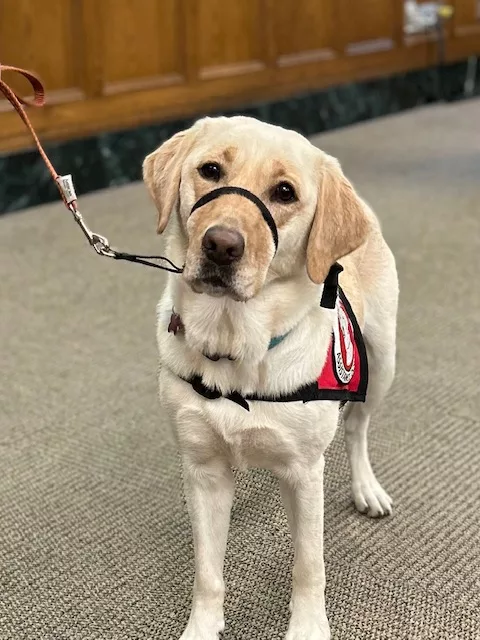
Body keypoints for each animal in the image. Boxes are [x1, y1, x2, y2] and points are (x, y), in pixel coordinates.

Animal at [144, 116, 400, 640]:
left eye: (285, 192)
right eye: (210, 170)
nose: (221, 245)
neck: (235, 345)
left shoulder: (303, 474)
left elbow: (309, 564)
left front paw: (308, 626)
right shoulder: (202, 468)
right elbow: (207, 570)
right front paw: (202, 626)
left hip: (383, 362)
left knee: (358, 428)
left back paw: (367, 487)